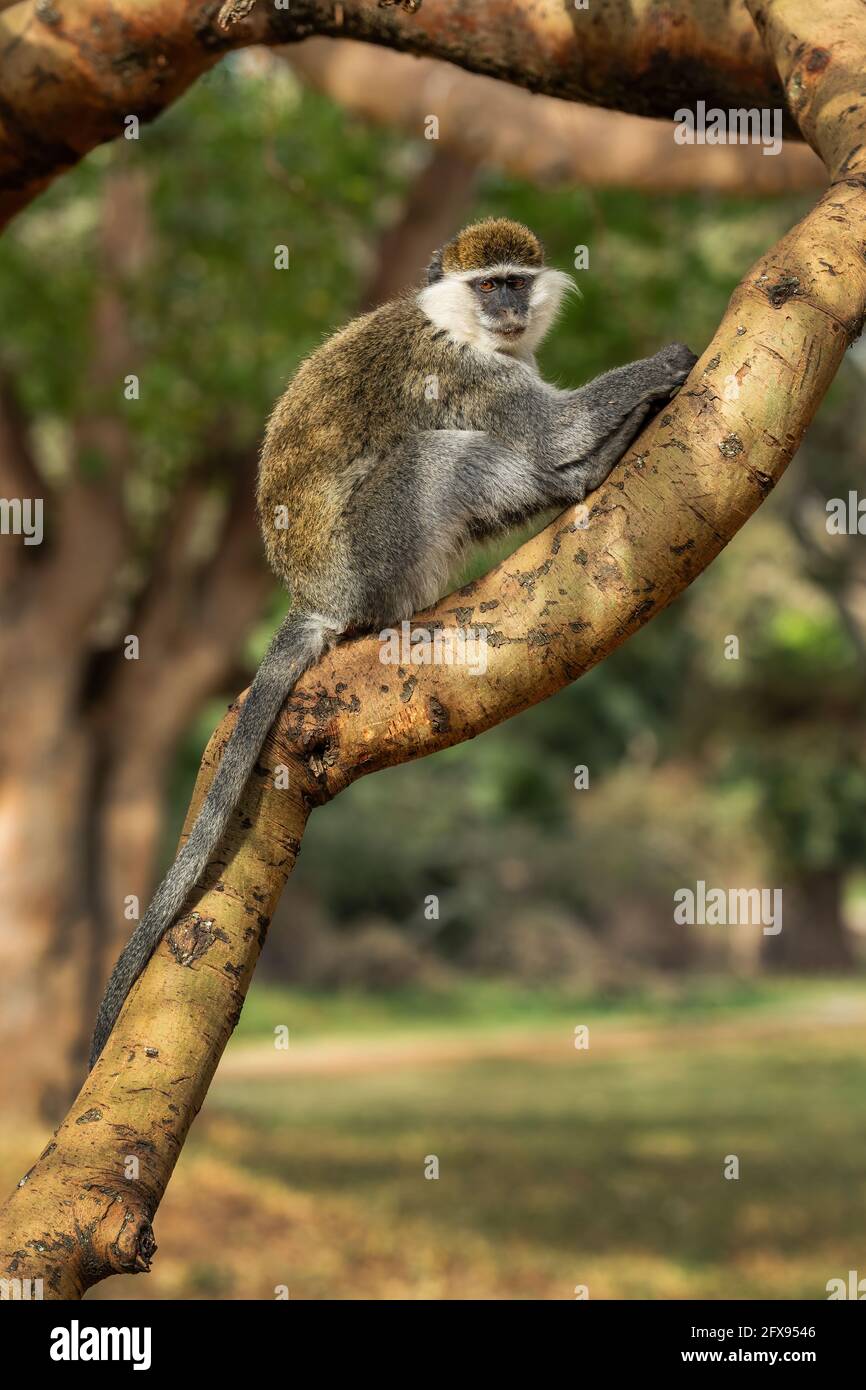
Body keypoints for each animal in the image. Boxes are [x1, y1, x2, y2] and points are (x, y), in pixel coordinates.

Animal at [88, 216, 697, 1061]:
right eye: (488, 285)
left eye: (516, 282)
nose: (509, 311)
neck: (457, 323)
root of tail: (318, 597)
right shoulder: (461, 370)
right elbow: (551, 428)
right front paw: (666, 363)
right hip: (379, 547)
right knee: (443, 454)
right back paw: (583, 475)